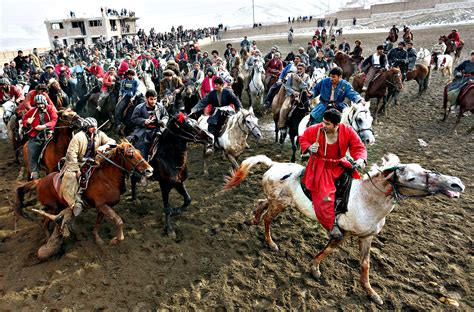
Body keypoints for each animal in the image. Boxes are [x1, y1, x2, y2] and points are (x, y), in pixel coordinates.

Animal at [15, 140, 153, 260]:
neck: (107, 178)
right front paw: (115, 240)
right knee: (44, 223)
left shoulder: (102, 206)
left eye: (139, 152)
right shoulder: (102, 205)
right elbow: (118, 221)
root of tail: (39, 182)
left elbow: (99, 222)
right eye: (130, 155)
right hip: (52, 207)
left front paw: (97, 239)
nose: (150, 170)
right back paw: (49, 242)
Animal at [224, 154, 464, 304]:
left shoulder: (367, 237)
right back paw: (270, 242)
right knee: (267, 218)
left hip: (277, 201)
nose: (456, 184)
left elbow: (365, 265)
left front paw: (372, 293)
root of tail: (274, 165)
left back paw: (252, 220)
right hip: (280, 204)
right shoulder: (342, 234)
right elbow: (328, 250)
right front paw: (314, 269)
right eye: (412, 177)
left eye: (425, 169)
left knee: (260, 204)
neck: (366, 199)